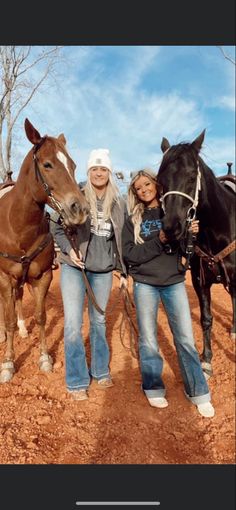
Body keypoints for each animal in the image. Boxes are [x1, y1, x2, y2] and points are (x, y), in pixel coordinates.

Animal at [0, 118, 88, 382]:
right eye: (47, 164)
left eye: (72, 165)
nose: (79, 209)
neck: (18, 226)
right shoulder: (5, 278)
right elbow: (7, 317)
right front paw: (8, 363)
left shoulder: (42, 276)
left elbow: (40, 317)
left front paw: (45, 358)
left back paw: (22, 329)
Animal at [158, 130, 235, 378]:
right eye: (160, 180)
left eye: (192, 177)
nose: (171, 227)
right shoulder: (200, 280)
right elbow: (206, 319)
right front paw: (206, 360)